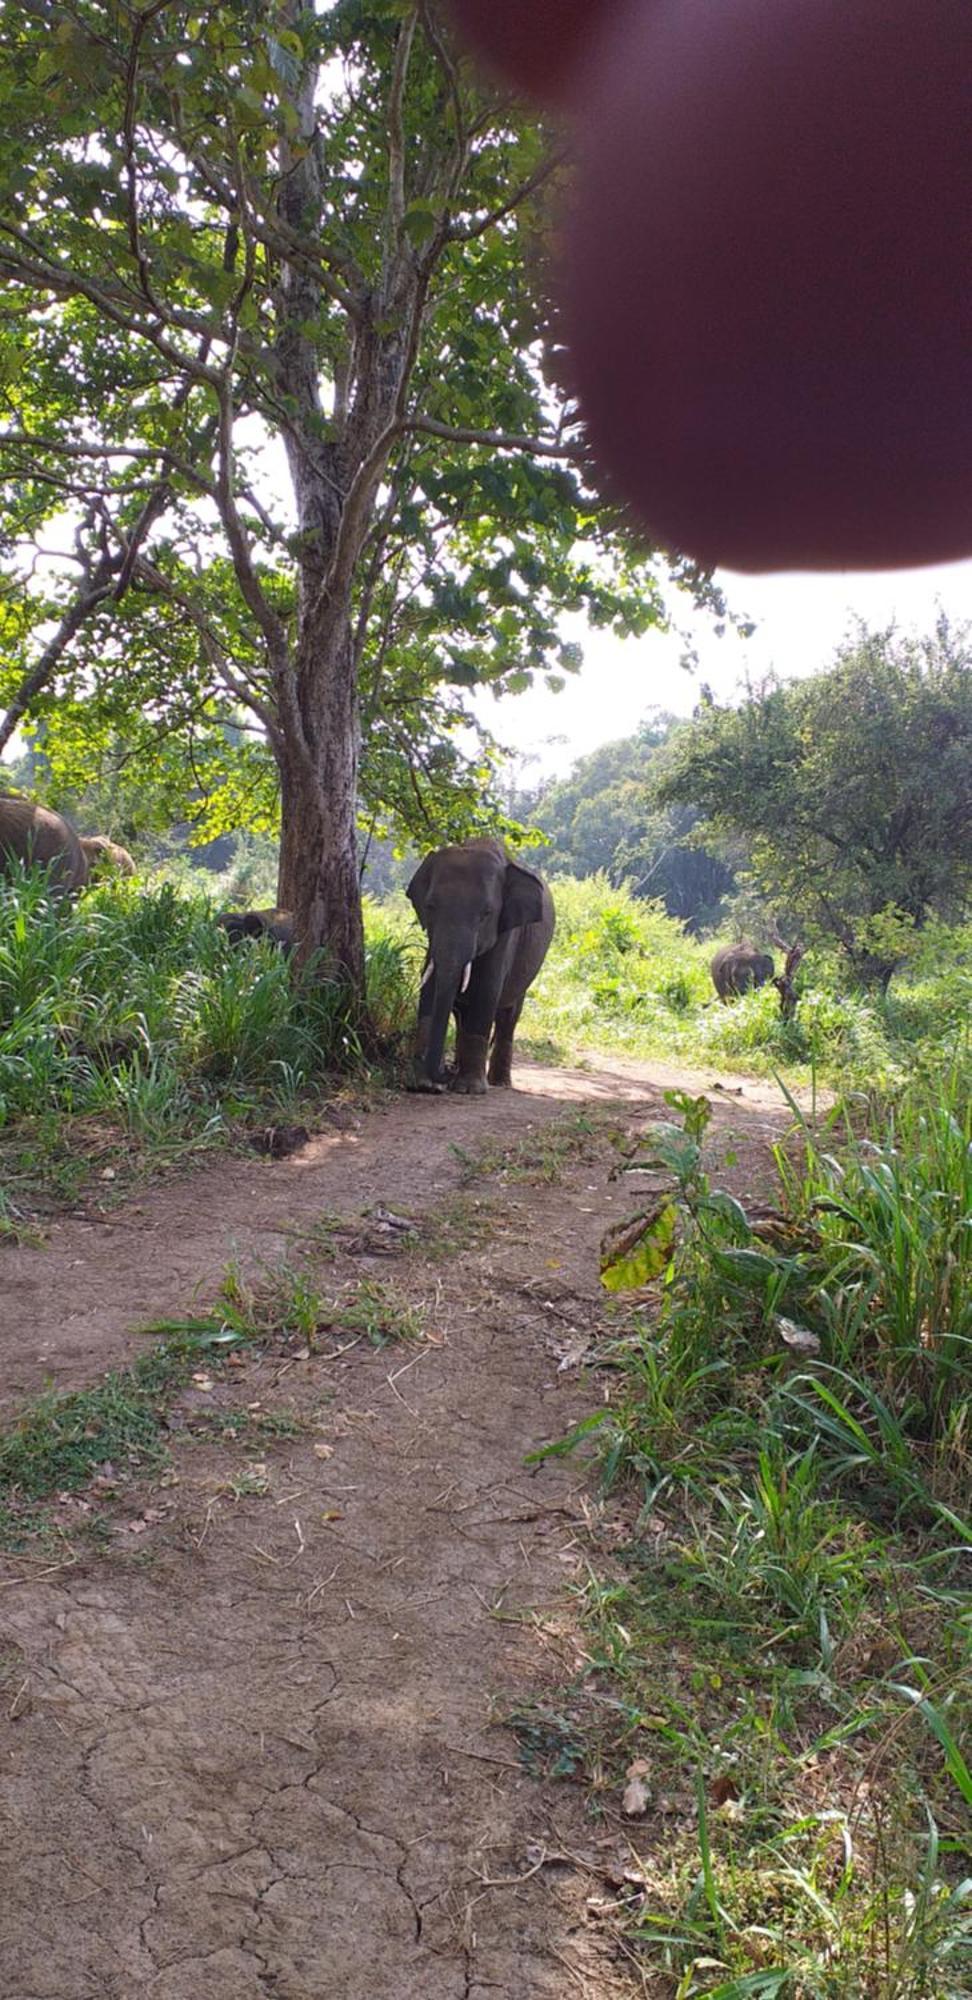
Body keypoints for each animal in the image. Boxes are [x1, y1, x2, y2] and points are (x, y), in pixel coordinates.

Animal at [404, 836, 556, 1104]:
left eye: (486, 913)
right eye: (430, 906)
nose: (445, 1073)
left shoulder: (507, 933)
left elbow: (487, 989)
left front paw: (468, 1089)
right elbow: (430, 986)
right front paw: (422, 1084)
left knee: (508, 1016)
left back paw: (499, 1083)